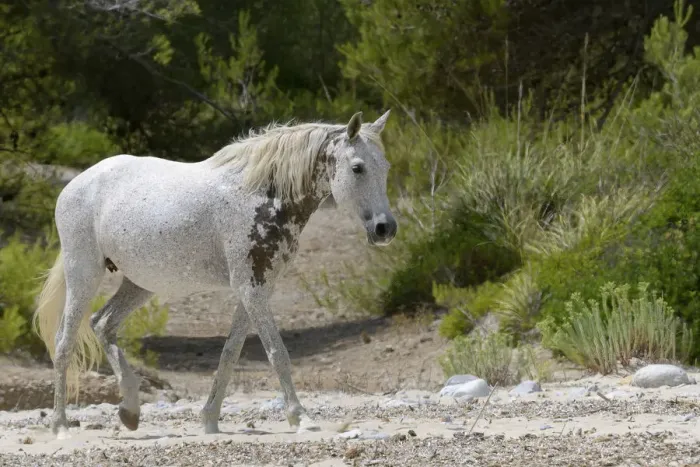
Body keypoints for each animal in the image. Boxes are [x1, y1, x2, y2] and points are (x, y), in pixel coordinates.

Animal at [32, 110, 397, 438]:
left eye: (386, 167)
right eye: (357, 168)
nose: (386, 229)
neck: (263, 195)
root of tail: (76, 184)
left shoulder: (257, 289)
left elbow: (230, 353)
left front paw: (209, 420)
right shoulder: (251, 289)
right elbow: (277, 353)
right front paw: (301, 418)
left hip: (140, 283)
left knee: (102, 324)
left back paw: (130, 411)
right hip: (84, 274)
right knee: (64, 342)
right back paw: (61, 425)